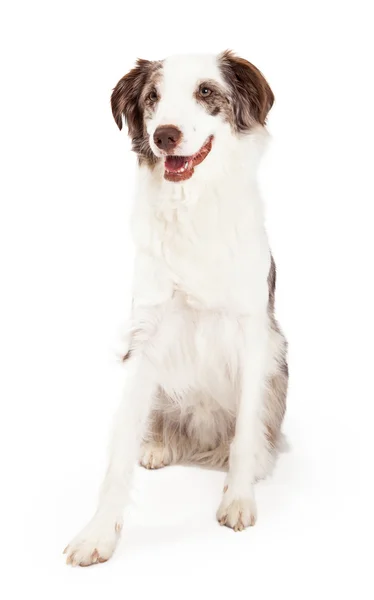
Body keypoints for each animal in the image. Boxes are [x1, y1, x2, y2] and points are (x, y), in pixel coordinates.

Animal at [63, 49, 290, 564]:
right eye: (152, 97)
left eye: (206, 91)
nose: (164, 135)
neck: (194, 206)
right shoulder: (146, 334)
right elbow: (121, 444)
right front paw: (98, 532)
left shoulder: (254, 334)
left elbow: (247, 427)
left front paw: (238, 498)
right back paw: (158, 444)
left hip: (279, 355)